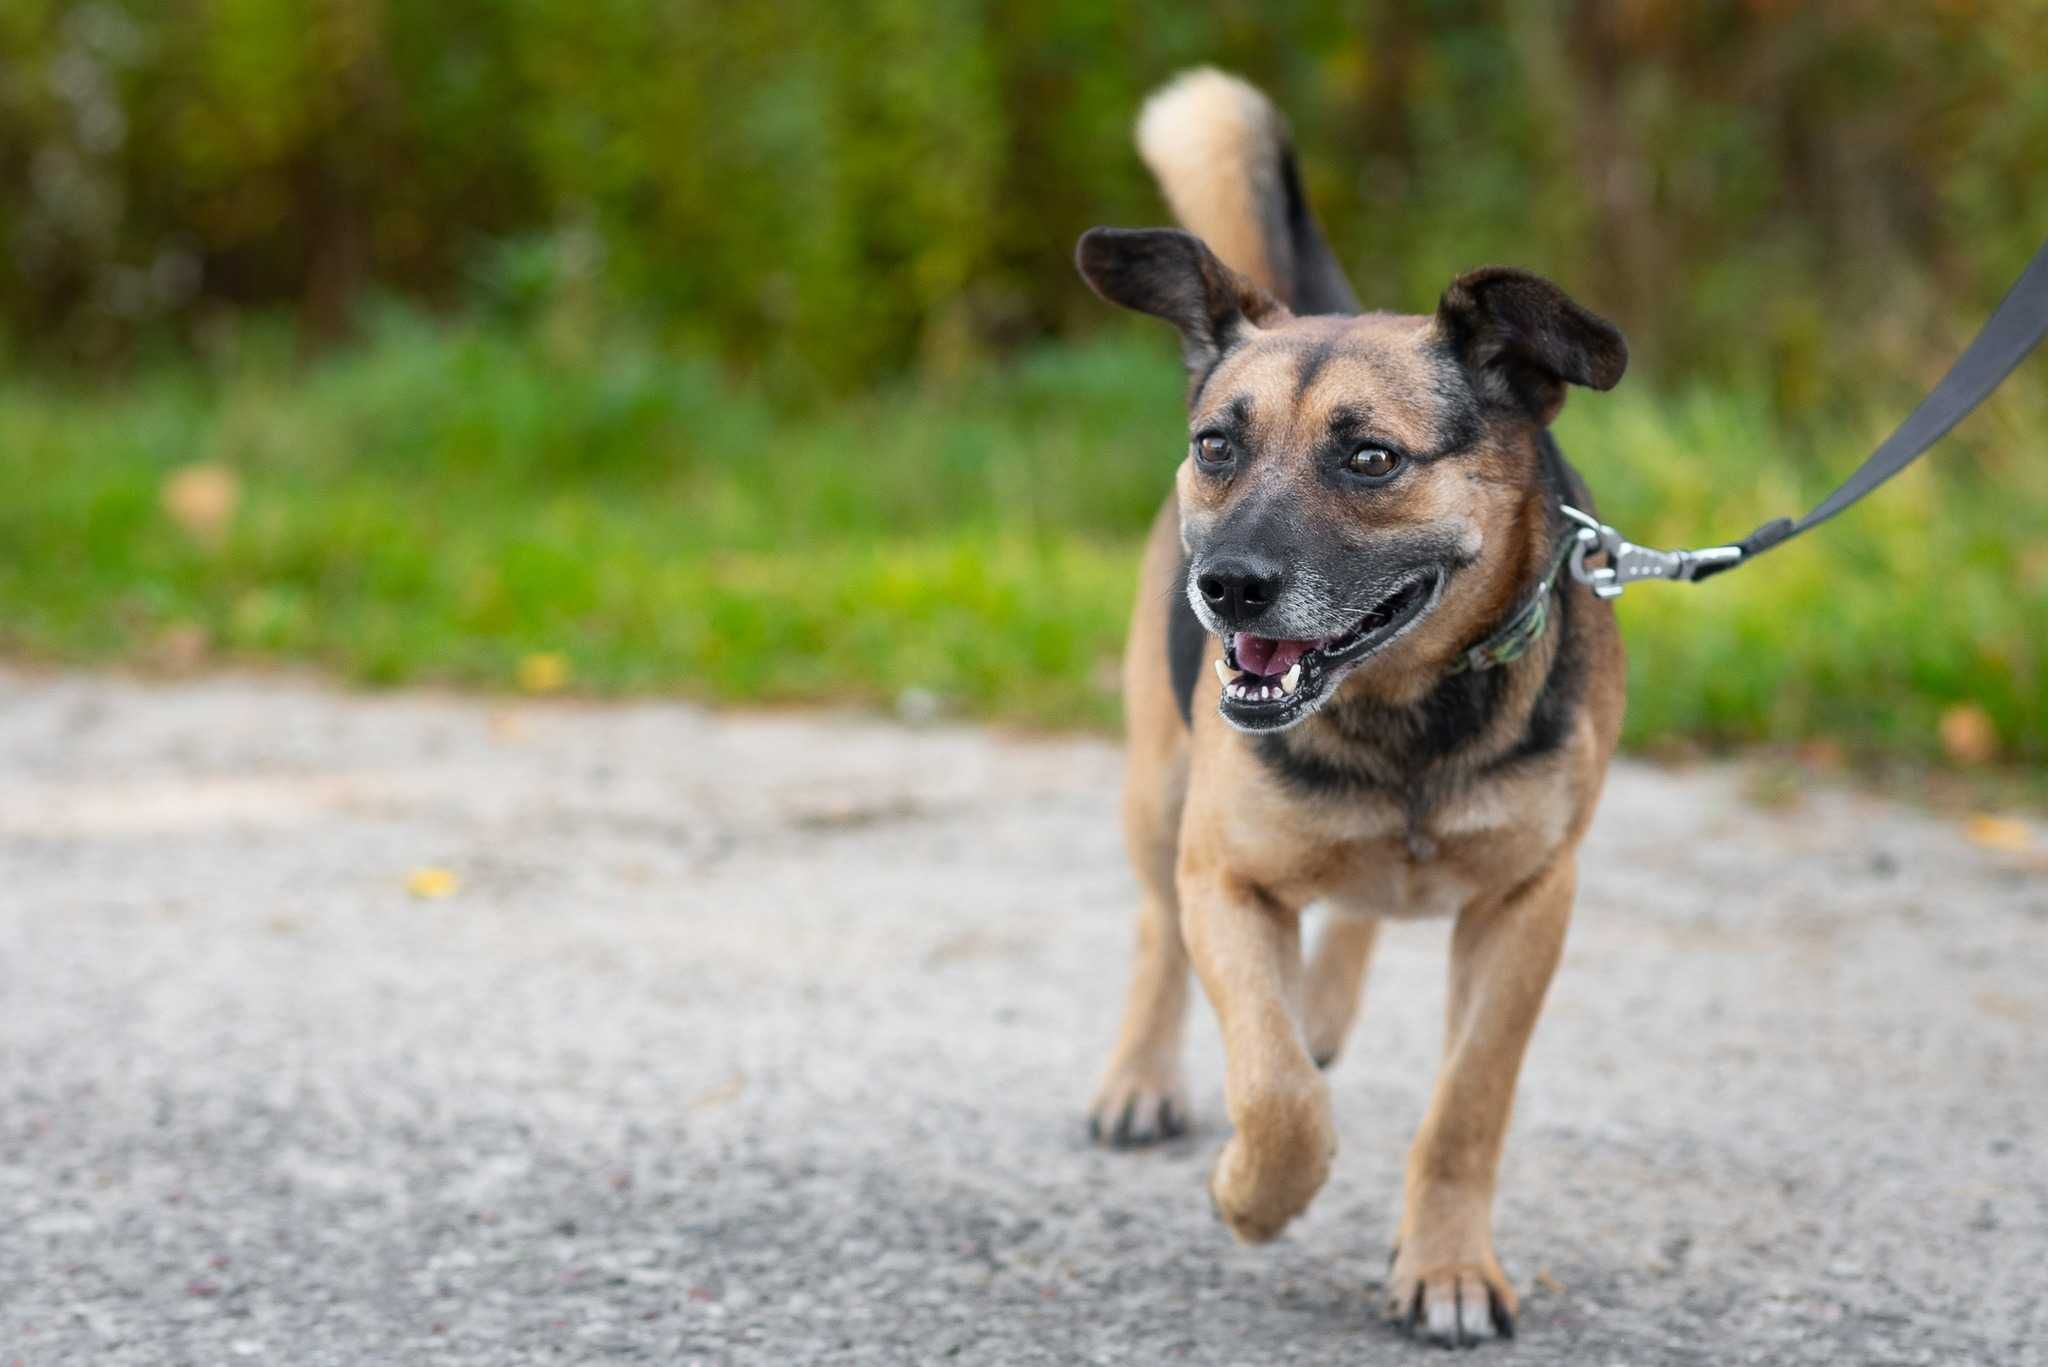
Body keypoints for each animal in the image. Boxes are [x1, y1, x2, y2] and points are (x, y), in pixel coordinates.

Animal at [1073, 69, 1630, 1344]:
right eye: (1214, 446)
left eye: (1370, 458)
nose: (1225, 586)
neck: (1400, 716)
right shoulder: (1224, 879)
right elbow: (1274, 1092)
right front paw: (1248, 1192)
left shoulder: (1528, 903)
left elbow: (1465, 1105)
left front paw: (1447, 1264)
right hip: (1157, 792)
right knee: (1153, 928)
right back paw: (1141, 1076)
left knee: (1356, 914)